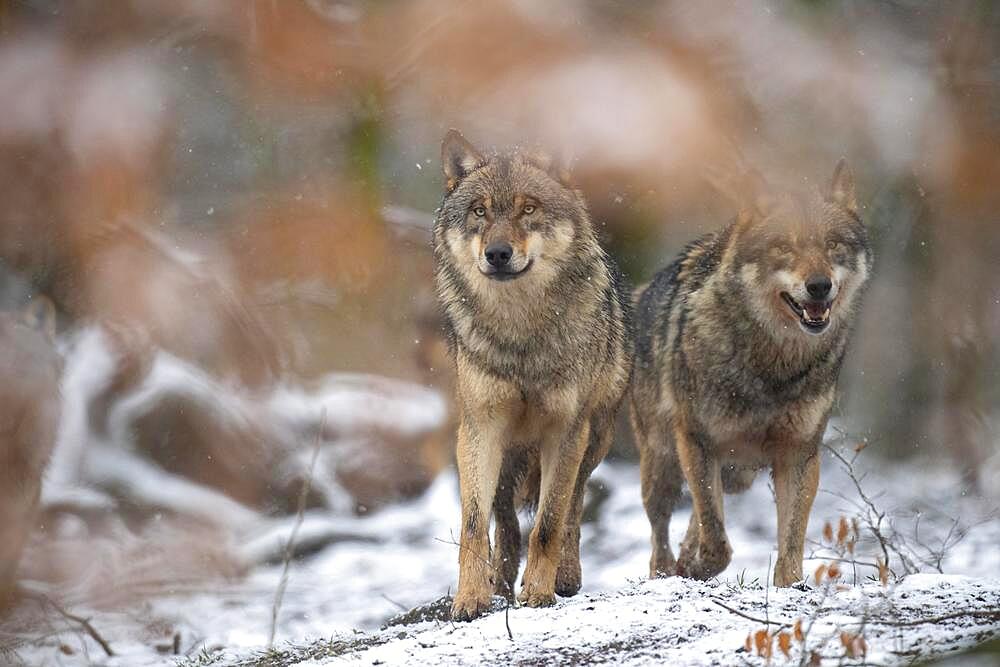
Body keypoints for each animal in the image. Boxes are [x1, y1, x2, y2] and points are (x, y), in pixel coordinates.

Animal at [632, 159, 876, 588]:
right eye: (783, 247)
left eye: (833, 245)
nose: (819, 285)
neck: (772, 367)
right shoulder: (697, 441)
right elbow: (717, 542)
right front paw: (698, 567)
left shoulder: (799, 453)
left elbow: (791, 542)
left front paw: (789, 586)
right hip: (662, 465)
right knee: (661, 535)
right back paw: (667, 572)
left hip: (737, 475)